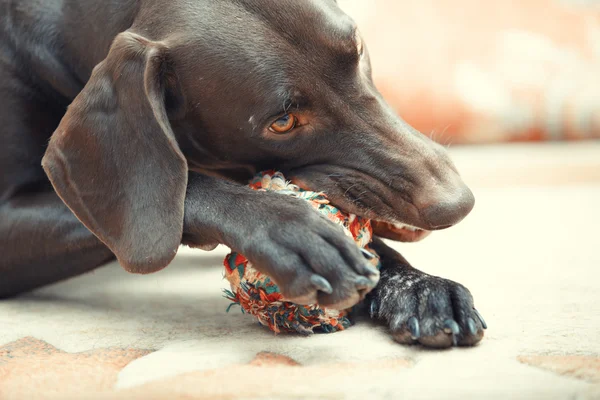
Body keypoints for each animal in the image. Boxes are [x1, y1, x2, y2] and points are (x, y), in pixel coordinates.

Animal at [0, 0, 486, 346]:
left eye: (359, 50)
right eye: (282, 122)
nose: (458, 203)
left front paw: (417, 285)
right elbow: (179, 194)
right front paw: (293, 233)